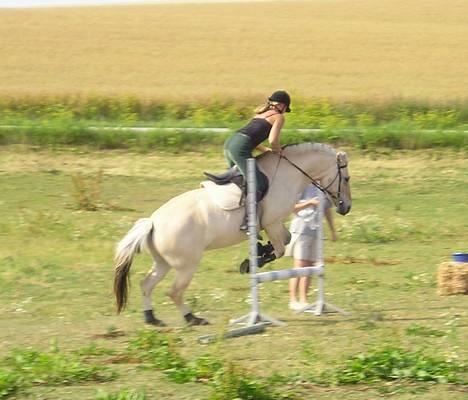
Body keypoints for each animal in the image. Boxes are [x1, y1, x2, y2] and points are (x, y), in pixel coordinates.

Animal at [114, 142, 352, 326]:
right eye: (347, 178)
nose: (346, 207)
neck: (288, 173)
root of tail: (153, 222)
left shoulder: (274, 225)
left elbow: (285, 241)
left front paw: (257, 252)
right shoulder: (272, 222)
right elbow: (281, 247)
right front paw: (254, 261)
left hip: (163, 263)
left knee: (146, 285)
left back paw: (152, 319)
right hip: (186, 264)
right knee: (174, 292)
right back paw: (193, 319)